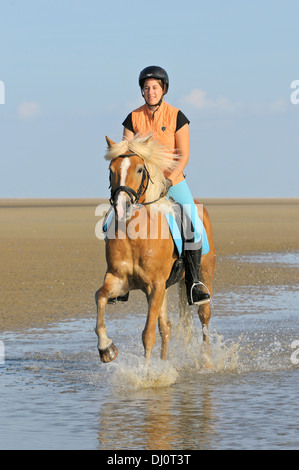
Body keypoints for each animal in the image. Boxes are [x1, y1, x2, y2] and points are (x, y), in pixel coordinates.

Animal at [96, 135, 216, 364]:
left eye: (139, 169)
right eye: (111, 169)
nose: (122, 207)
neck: (136, 235)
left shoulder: (155, 285)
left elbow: (148, 334)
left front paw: (146, 370)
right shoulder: (119, 279)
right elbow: (100, 297)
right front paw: (106, 348)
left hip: (203, 276)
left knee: (204, 316)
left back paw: (207, 361)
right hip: (164, 289)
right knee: (166, 327)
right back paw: (164, 362)